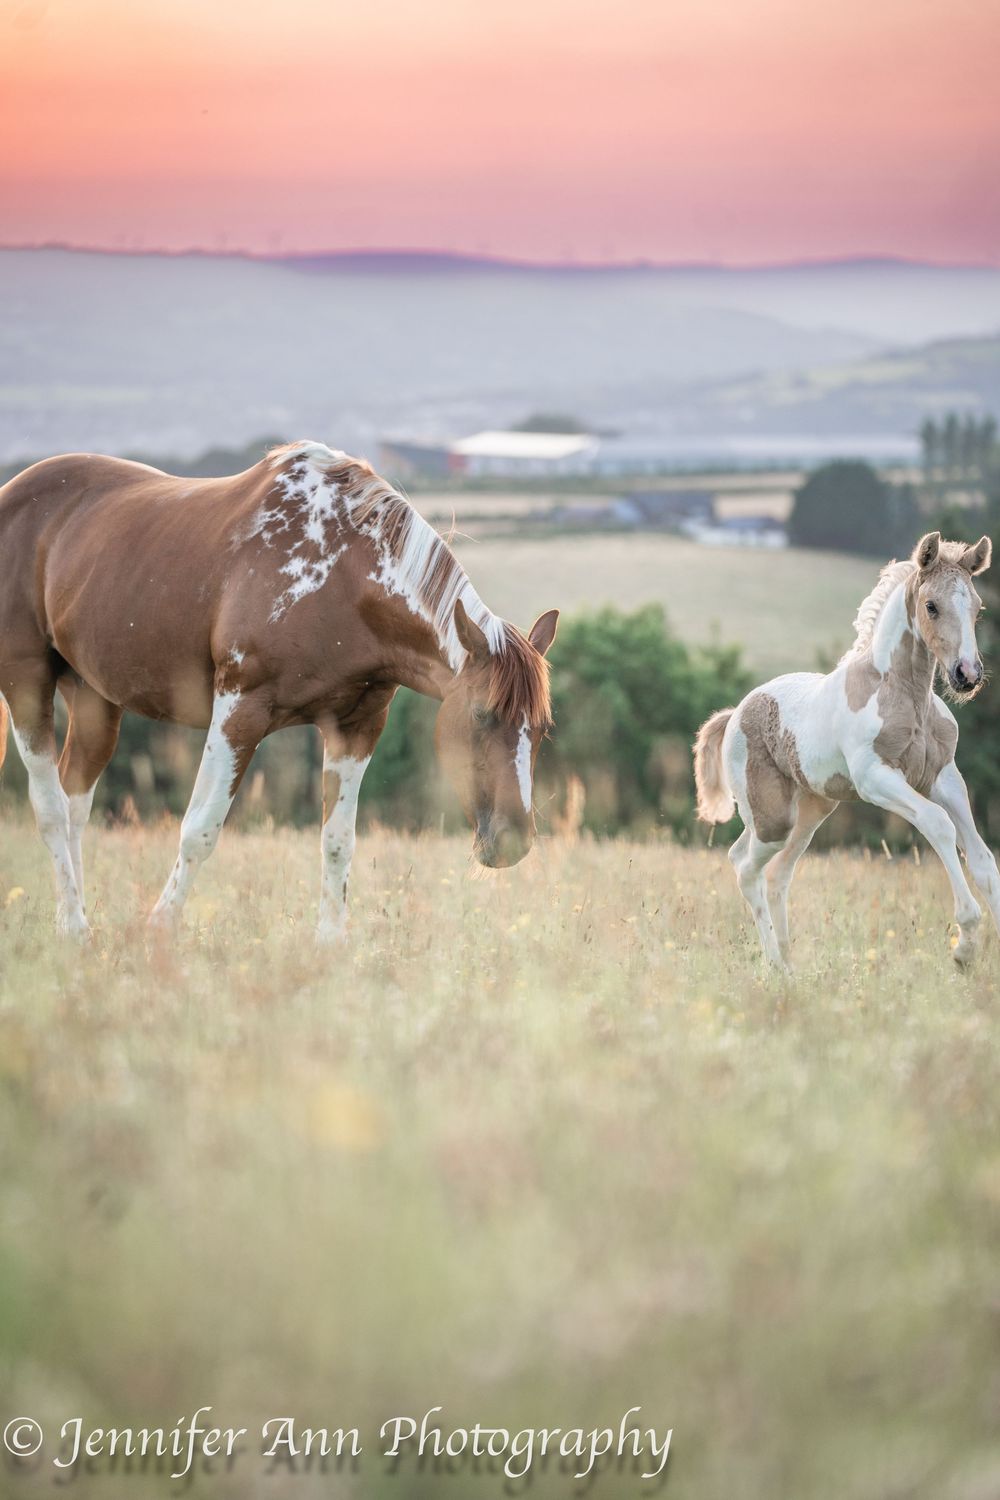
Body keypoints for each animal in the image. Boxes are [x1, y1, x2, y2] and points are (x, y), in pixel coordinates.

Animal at [0, 440, 559, 941]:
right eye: (482, 714)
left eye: (542, 730)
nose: (513, 842)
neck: (341, 575)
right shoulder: (239, 711)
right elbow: (200, 829)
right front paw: (159, 929)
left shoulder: (356, 726)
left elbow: (338, 841)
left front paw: (330, 943)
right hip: (26, 683)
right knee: (50, 808)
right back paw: (75, 928)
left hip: (94, 698)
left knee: (74, 802)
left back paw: (74, 923)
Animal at [694, 530, 998, 970]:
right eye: (931, 606)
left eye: (976, 607)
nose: (967, 675)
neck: (905, 696)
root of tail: (735, 713)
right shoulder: (876, 778)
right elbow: (938, 824)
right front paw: (965, 946)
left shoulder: (945, 778)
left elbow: (983, 859)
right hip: (772, 817)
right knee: (746, 867)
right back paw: (776, 967)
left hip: (811, 810)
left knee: (775, 871)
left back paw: (789, 965)